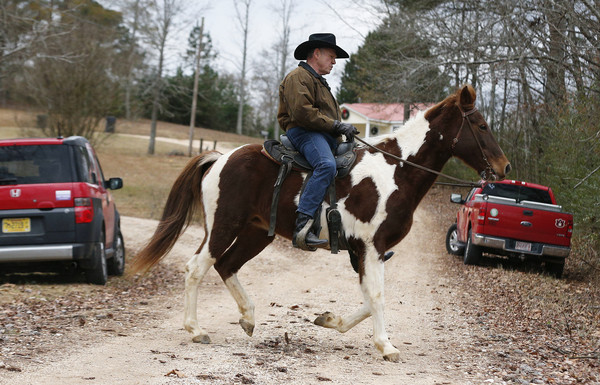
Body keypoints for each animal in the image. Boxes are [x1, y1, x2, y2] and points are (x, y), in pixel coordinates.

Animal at [132, 84, 510, 360]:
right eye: (481, 125)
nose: (504, 167)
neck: (395, 172)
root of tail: (220, 158)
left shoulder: (366, 251)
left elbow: (369, 298)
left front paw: (330, 321)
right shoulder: (371, 246)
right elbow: (376, 295)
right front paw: (386, 346)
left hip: (257, 234)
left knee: (227, 265)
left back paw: (248, 317)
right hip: (224, 227)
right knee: (197, 267)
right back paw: (196, 330)